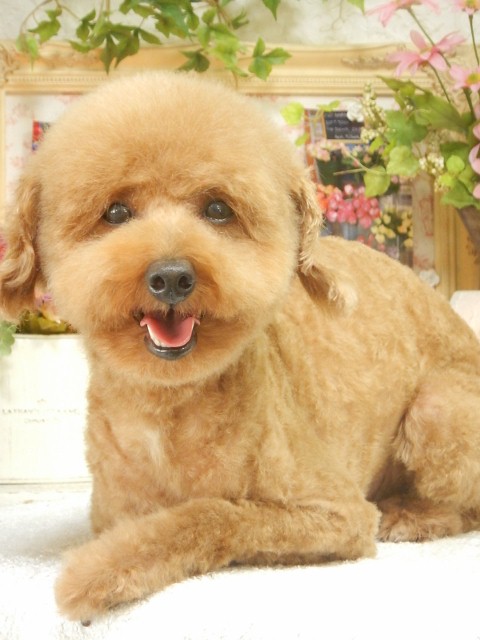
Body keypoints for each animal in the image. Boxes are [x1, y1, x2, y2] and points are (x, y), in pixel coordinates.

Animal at [1, 72, 480, 621]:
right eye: (116, 212)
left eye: (217, 209)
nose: (171, 276)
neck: (168, 412)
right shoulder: (113, 510)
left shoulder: (336, 513)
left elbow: (212, 514)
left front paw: (96, 571)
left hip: (438, 410)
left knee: (466, 507)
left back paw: (414, 516)